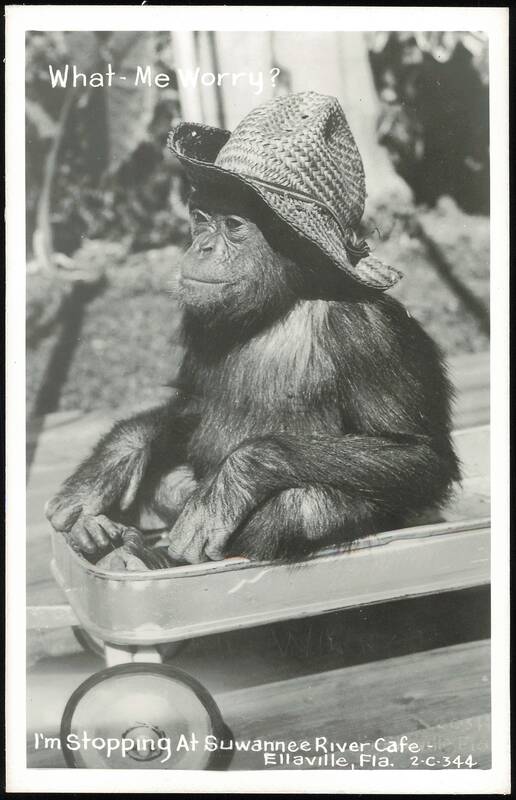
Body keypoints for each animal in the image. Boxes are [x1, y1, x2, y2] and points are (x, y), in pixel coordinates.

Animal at [45, 176, 461, 565]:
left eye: (233, 225)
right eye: (201, 219)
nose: (203, 246)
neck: (278, 304)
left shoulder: (372, 333)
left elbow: (420, 455)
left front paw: (232, 482)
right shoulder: (198, 316)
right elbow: (192, 404)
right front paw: (112, 463)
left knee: (300, 508)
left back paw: (134, 552)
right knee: (169, 481)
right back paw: (109, 539)